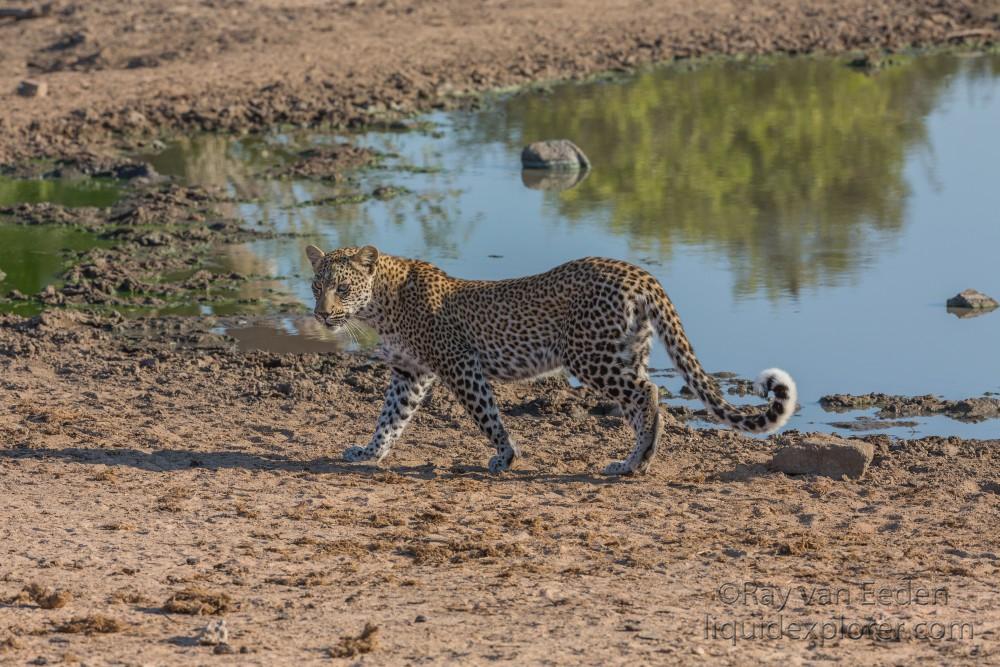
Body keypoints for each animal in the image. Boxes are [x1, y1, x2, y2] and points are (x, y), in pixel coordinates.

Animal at [304, 245, 796, 474]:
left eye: (342, 288)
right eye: (316, 285)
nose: (321, 314)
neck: (380, 305)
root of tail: (639, 272)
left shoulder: (460, 364)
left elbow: (486, 414)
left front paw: (506, 456)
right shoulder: (410, 372)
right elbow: (390, 416)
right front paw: (370, 452)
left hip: (591, 356)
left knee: (648, 394)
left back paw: (636, 462)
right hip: (623, 352)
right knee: (642, 397)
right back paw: (634, 460)